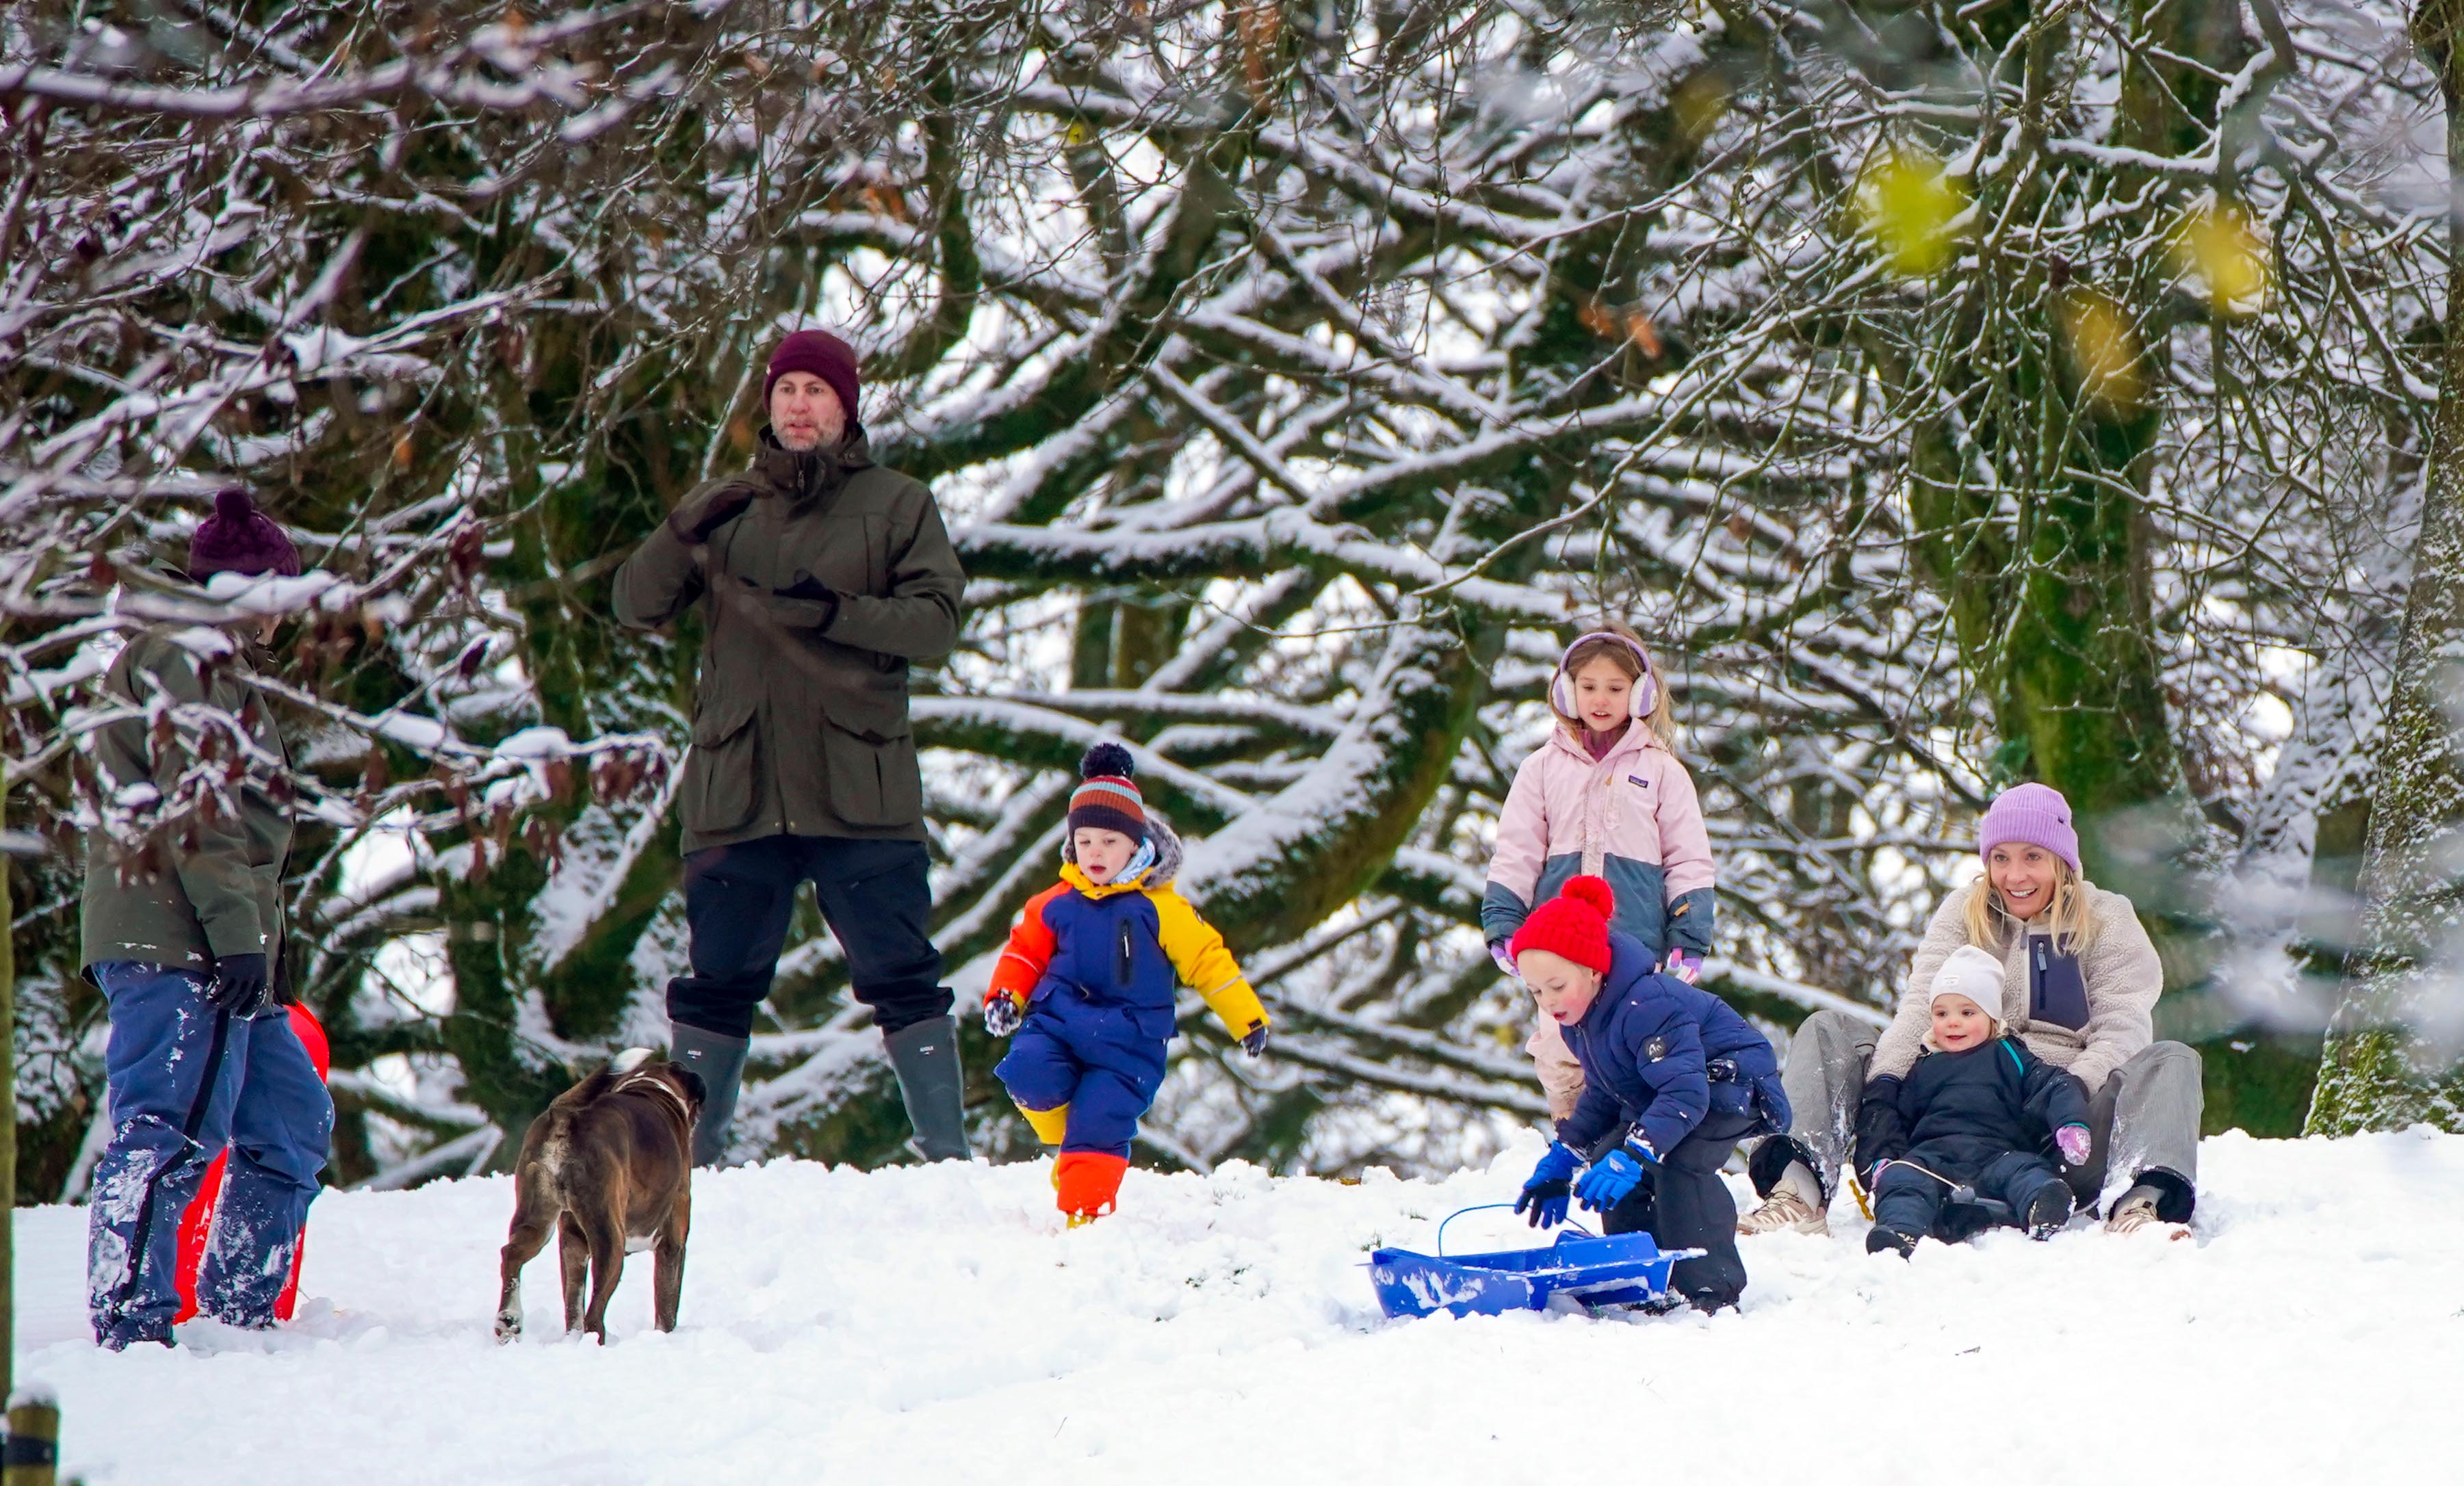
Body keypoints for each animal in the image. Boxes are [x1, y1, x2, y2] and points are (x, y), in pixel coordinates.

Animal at [490, 1045, 704, 1350]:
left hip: (538, 1221)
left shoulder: (573, 1245)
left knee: (513, 1256)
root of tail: (566, 1116)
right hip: (610, 1238)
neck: (654, 1088)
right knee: (594, 1312)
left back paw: (509, 1321)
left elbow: (572, 1303)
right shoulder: (673, 1244)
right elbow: (667, 1307)